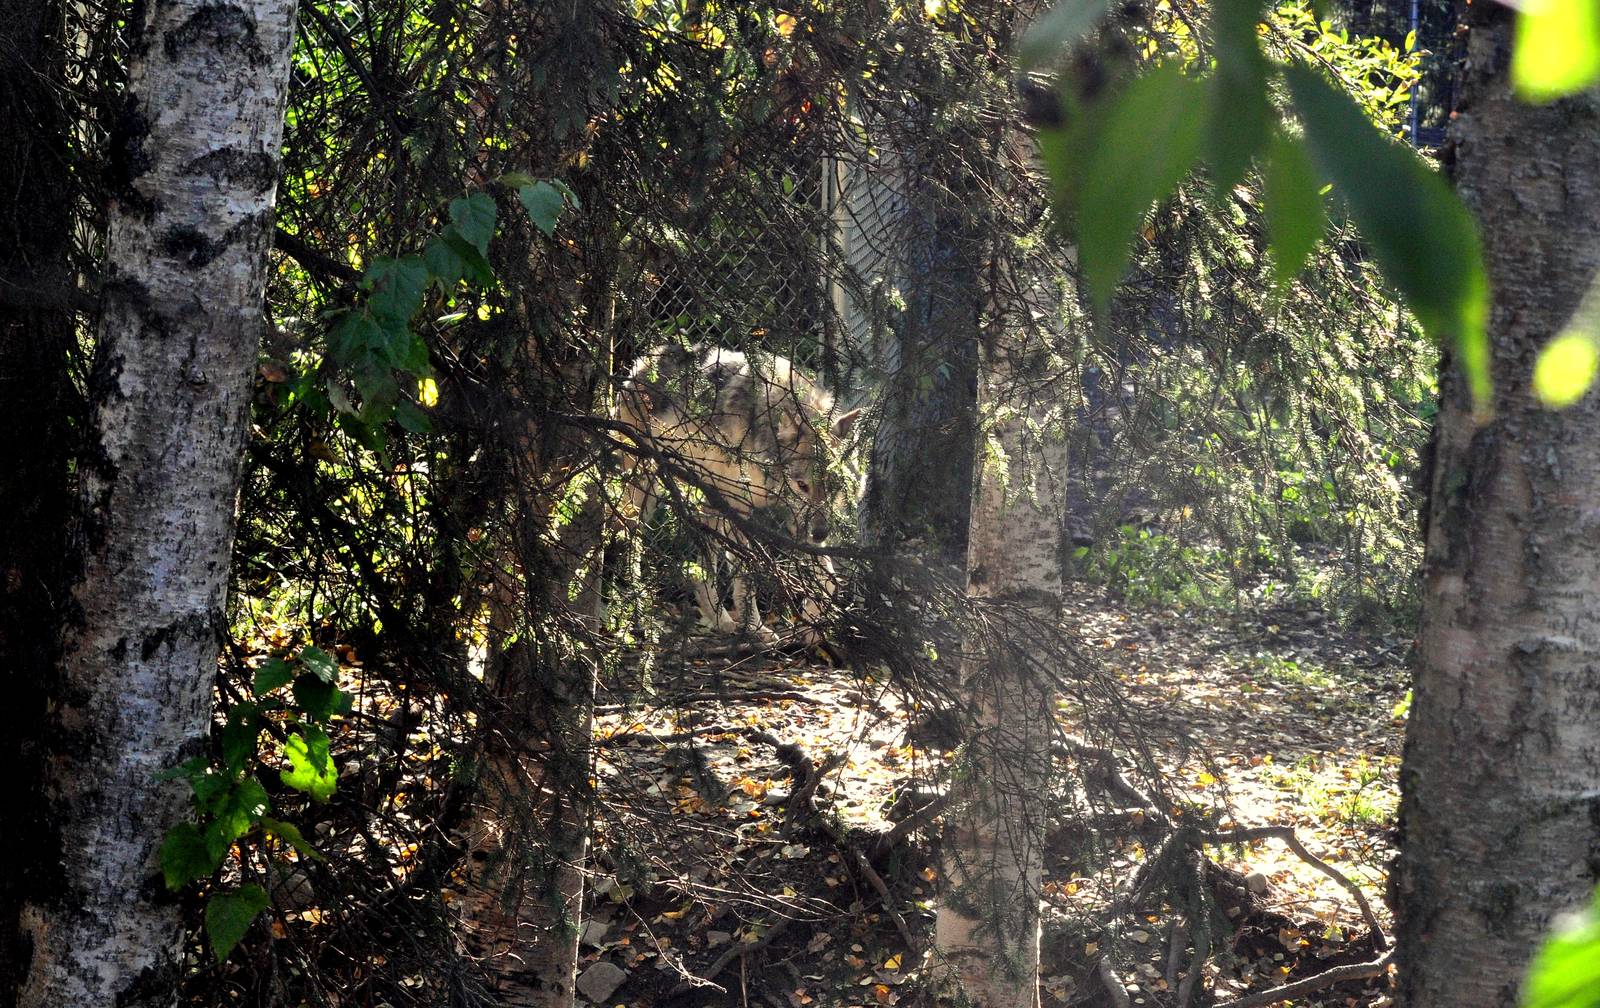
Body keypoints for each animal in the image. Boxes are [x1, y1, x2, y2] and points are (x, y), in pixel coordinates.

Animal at [615, 343, 860, 642]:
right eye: (803, 486)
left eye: (834, 488)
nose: (821, 534)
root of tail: (645, 361)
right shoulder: (740, 510)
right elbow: (747, 577)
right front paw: (756, 628)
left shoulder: (794, 522)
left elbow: (829, 576)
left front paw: (812, 623)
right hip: (645, 491)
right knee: (628, 541)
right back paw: (638, 614)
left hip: (706, 503)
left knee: (698, 573)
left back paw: (722, 622)